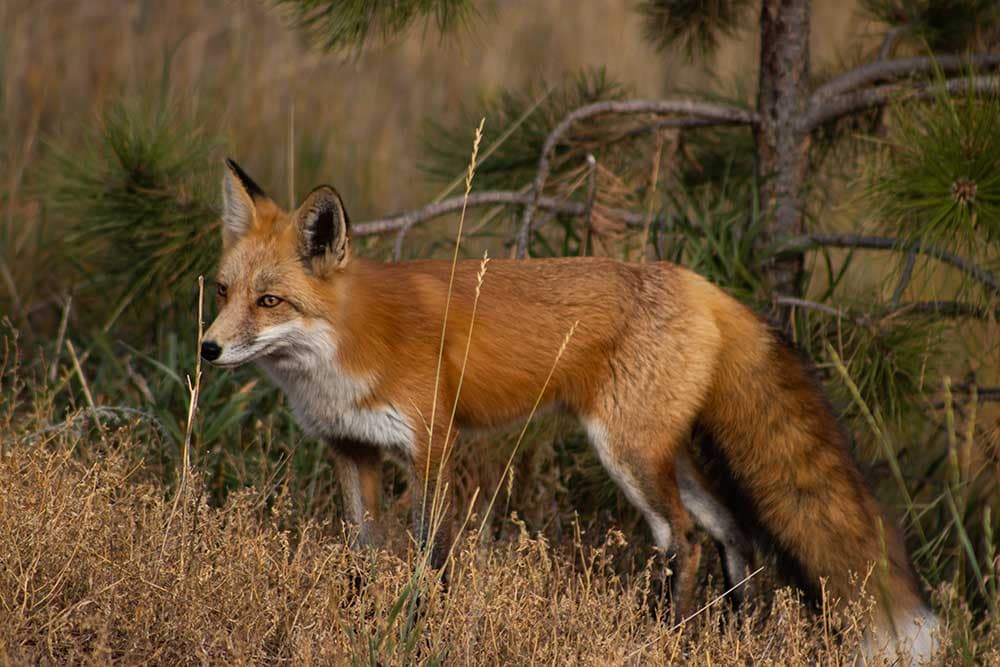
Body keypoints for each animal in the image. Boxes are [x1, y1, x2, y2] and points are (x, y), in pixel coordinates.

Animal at [202, 159, 940, 663]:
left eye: (270, 301)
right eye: (223, 291)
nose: (208, 348)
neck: (346, 344)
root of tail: (701, 284)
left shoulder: (433, 446)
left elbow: (427, 562)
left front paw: (411, 633)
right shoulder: (351, 449)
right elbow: (363, 557)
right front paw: (362, 623)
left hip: (628, 453)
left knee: (685, 537)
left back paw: (664, 638)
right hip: (660, 451)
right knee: (732, 528)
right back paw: (735, 633)